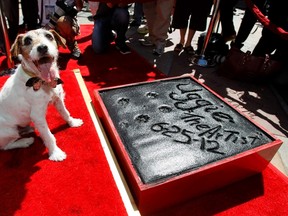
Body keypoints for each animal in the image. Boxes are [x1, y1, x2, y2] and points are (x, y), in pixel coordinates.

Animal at [0, 28, 83, 160]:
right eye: (27, 40)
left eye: (49, 36)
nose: (42, 47)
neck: (43, 82)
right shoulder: (38, 116)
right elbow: (49, 136)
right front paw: (55, 153)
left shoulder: (58, 99)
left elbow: (65, 113)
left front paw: (73, 122)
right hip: (9, 131)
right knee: (6, 146)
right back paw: (25, 141)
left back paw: (26, 130)